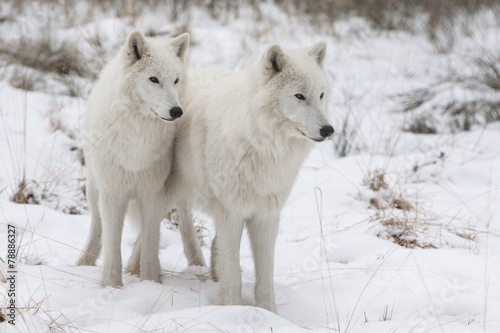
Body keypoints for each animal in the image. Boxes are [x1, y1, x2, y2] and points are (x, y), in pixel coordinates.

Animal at [75, 29, 190, 286]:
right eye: (154, 79)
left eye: (176, 80)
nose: (177, 111)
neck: (138, 138)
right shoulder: (113, 193)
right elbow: (112, 245)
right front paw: (111, 285)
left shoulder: (152, 193)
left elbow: (149, 244)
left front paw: (150, 283)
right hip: (94, 190)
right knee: (96, 228)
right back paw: (83, 263)